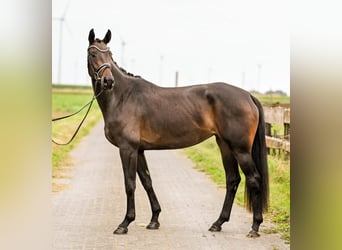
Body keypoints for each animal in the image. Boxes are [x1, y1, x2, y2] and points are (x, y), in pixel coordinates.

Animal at [87, 28, 268, 237]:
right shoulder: (138, 150)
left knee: (254, 179)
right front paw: (154, 219)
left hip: (240, 149)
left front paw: (124, 223)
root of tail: (248, 95)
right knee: (233, 180)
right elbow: (147, 181)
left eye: (109, 54)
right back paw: (218, 223)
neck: (123, 97)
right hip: (225, 145)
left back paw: (254, 227)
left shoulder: (127, 149)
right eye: (93, 54)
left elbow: (130, 184)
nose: (108, 81)